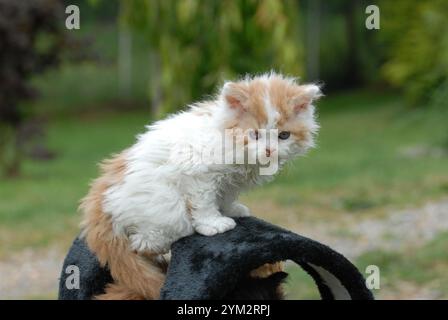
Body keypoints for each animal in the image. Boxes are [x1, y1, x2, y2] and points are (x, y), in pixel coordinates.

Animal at [80, 73, 322, 300]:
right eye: (254, 134)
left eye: (283, 135)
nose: (269, 151)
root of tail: (100, 198)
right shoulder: (199, 174)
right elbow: (204, 203)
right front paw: (214, 224)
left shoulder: (230, 181)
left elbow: (225, 195)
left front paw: (231, 210)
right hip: (168, 210)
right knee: (144, 242)